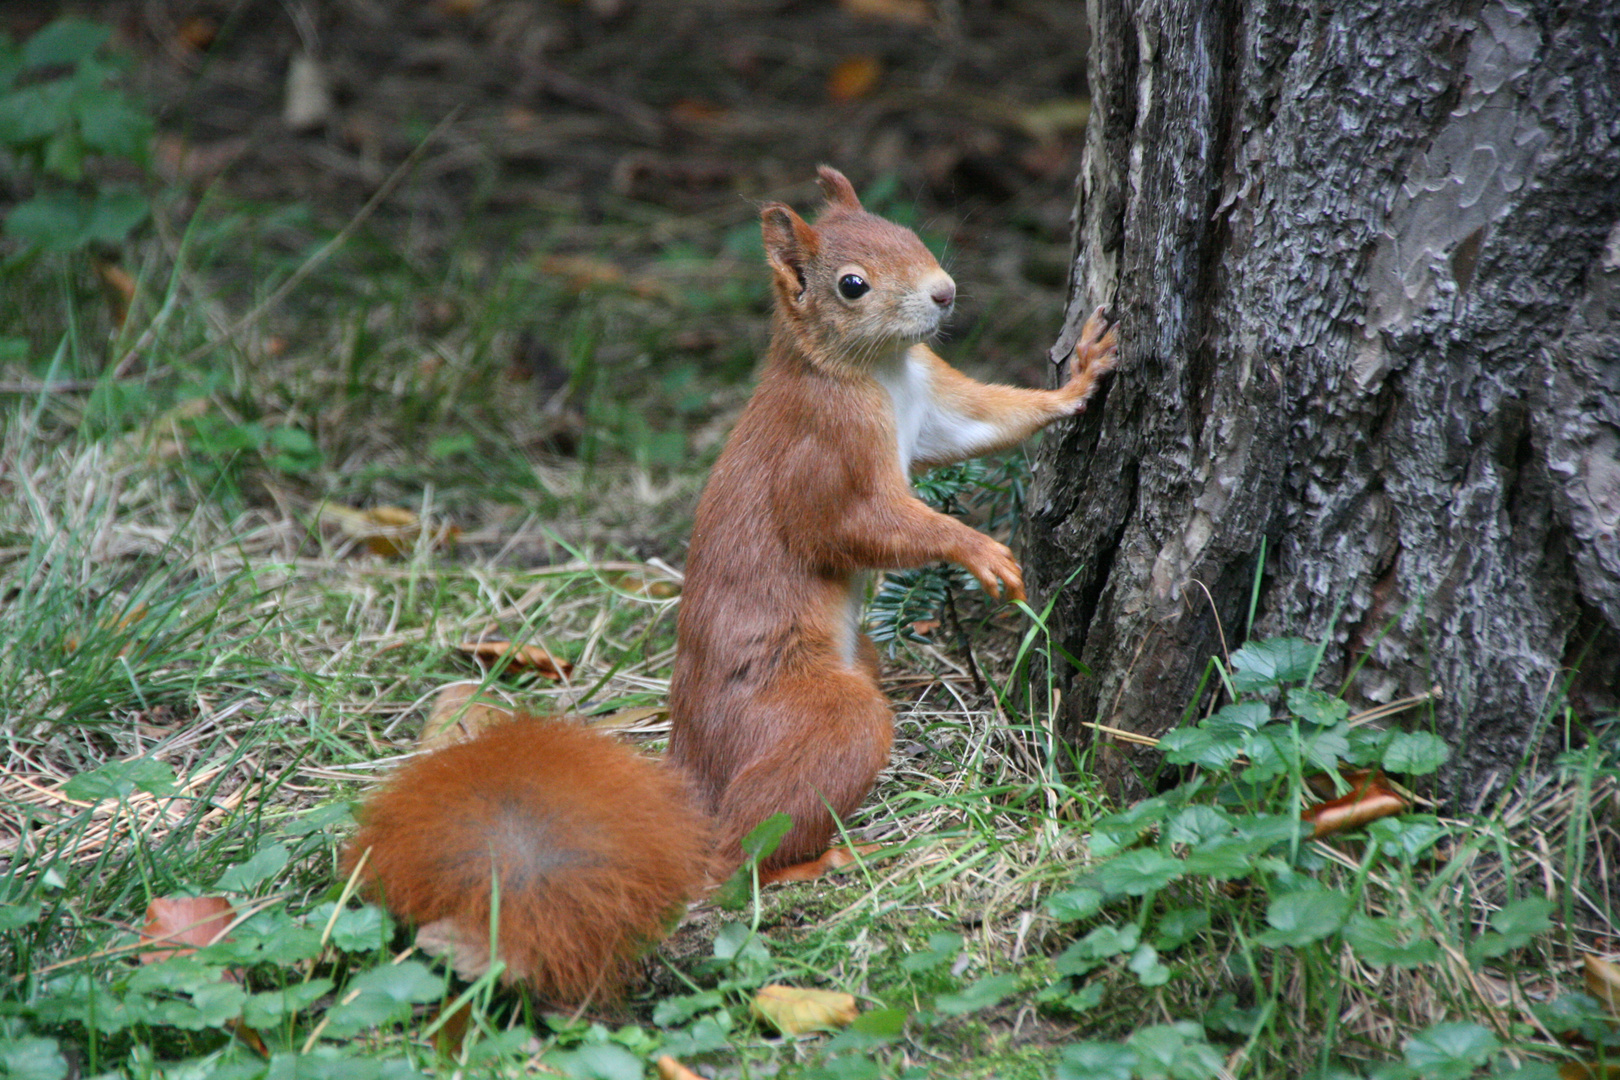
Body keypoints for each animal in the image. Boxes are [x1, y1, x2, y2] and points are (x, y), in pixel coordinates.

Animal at [348, 166, 1121, 1003]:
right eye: (852, 285)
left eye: (909, 235)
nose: (945, 293)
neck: (874, 370)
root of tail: (698, 788)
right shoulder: (825, 455)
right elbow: (856, 526)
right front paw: (978, 549)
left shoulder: (936, 404)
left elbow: (988, 419)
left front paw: (1079, 377)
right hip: (817, 721)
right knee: (740, 854)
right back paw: (812, 861)